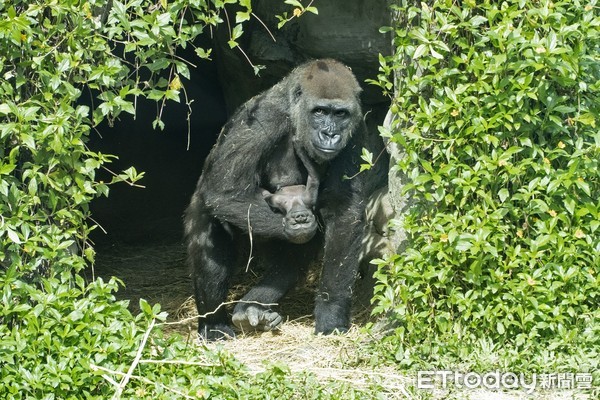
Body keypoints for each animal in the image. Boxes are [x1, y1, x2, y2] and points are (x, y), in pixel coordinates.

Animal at [183, 59, 380, 340]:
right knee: (210, 234)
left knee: (291, 262)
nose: (329, 134)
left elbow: (343, 212)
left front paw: (331, 311)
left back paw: (252, 308)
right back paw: (214, 323)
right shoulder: (262, 118)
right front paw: (297, 225)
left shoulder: (356, 130)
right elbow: (224, 190)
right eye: (320, 111)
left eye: (340, 114)